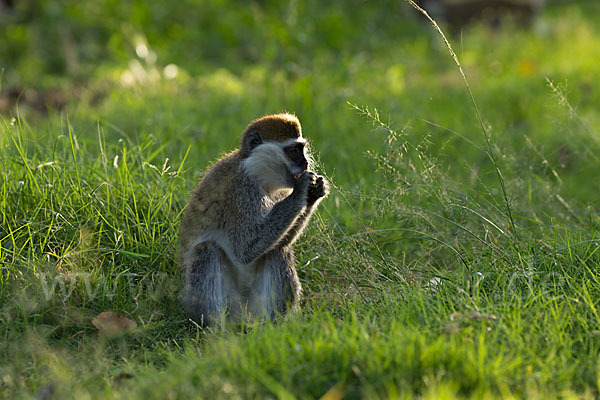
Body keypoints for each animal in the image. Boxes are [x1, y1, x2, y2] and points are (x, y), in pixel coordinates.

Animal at [178, 112, 328, 324]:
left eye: (302, 150)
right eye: (293, 151)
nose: (306, 163)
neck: (255, 173)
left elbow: (279, 241)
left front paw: (315, 191)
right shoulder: (240, 192)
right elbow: (245, 249)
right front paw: (301, 191)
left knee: (278, 249)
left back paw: (274, 325)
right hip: (218, 300)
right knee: (206, 249)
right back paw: (216, 326)